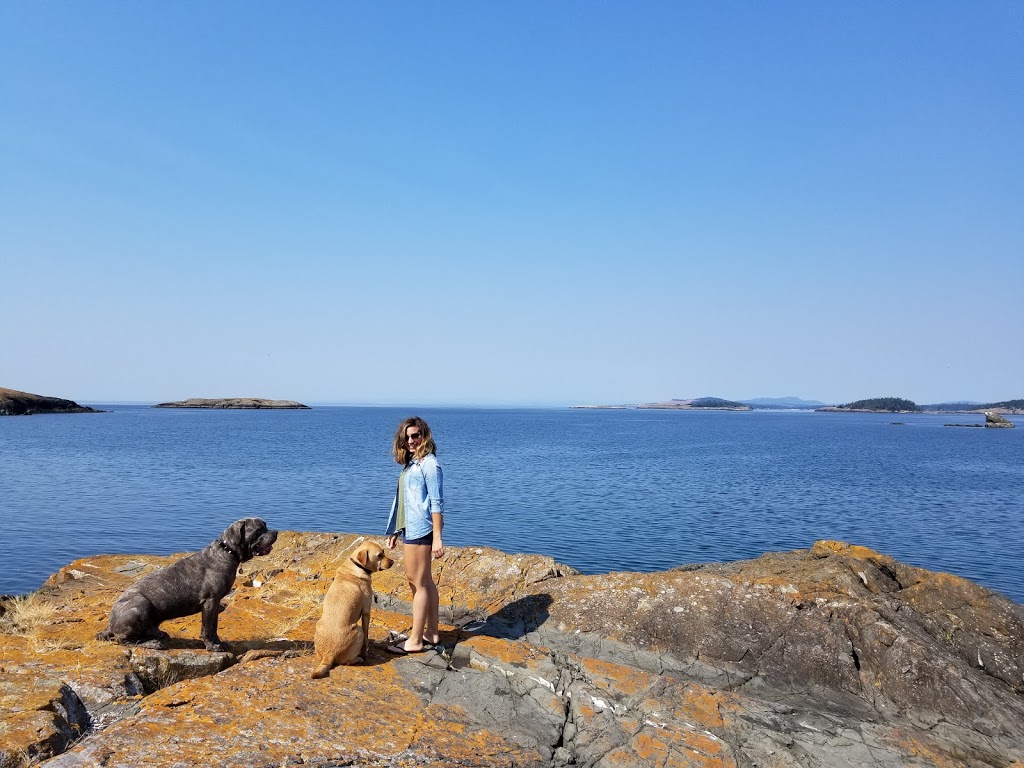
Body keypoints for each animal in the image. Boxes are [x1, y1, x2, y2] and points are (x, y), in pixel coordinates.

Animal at [96, 520, 278, 651]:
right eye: (259, 529)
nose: (276, 532)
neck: (227, 551)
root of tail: (110, 624)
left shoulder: (215, 603)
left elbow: (214, 627)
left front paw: (219, 643)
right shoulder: (210, 602)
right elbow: (207, 628)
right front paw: (212, 646)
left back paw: (157, 634)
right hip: (139, 604)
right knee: (123, 640)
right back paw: (152, 643)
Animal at [309, 540, 393, 679]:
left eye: (384, 552)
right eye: (379, 555)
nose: (392, 561)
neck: (357, 566)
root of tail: (329, 654)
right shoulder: (366, 612)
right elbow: (366, 637)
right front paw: (365, 652)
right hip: (358, 630)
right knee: (348, 661)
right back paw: (358, 658)